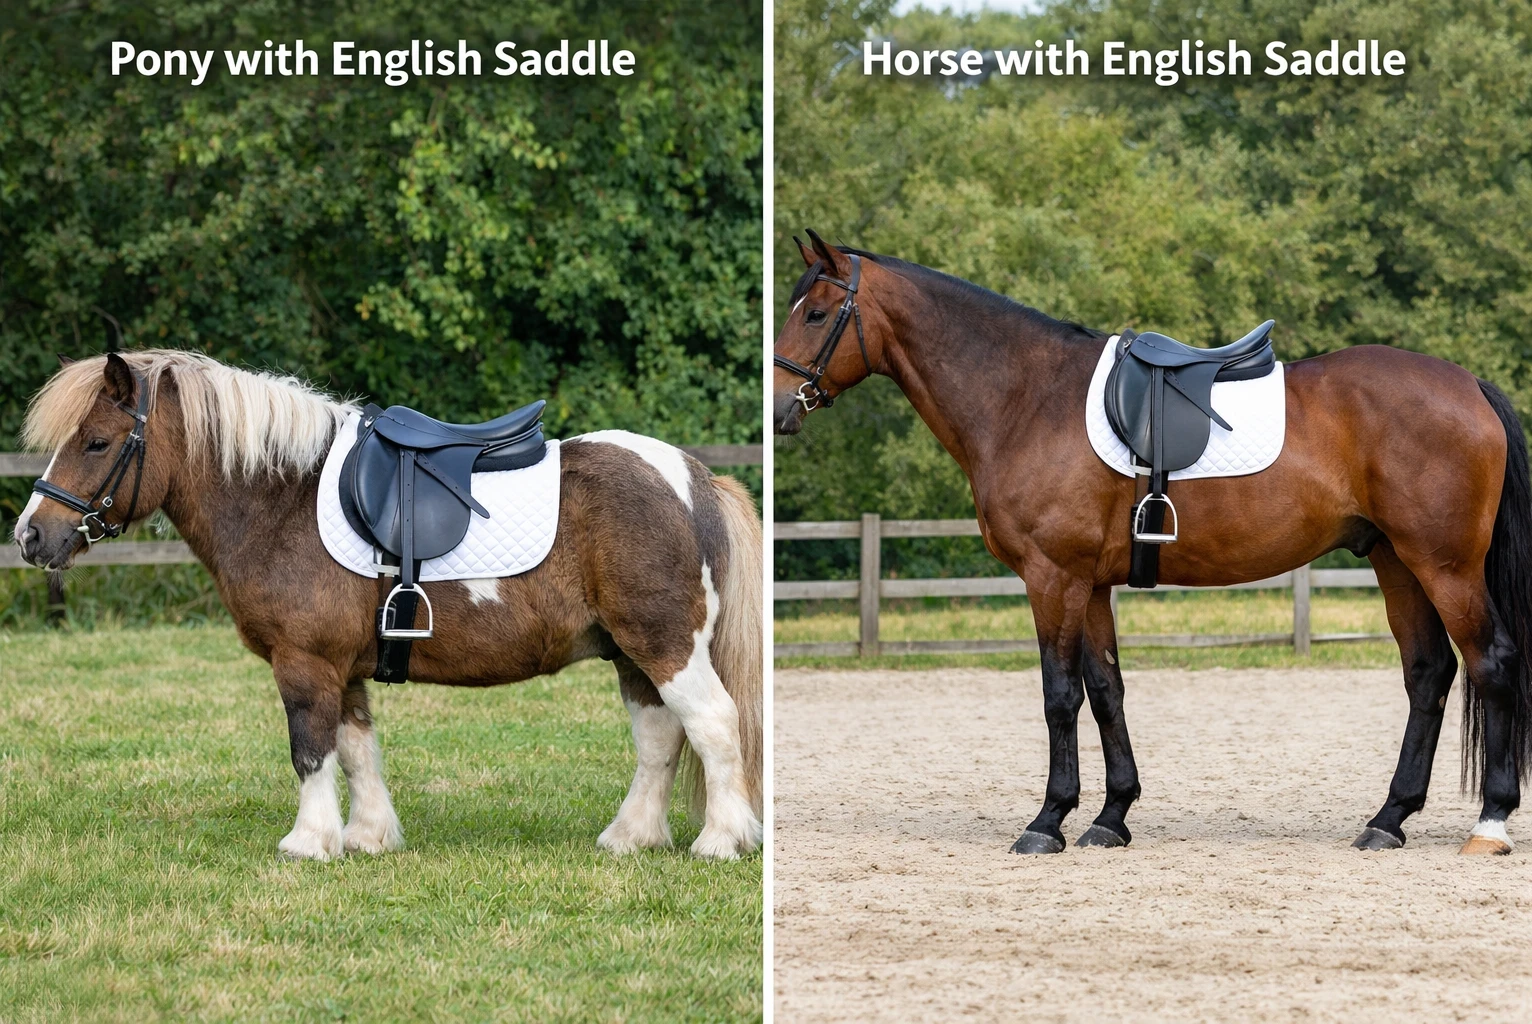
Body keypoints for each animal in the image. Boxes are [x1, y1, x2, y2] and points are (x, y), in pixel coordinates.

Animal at [15, 350, 763, 862]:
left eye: (97, 442)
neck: (281, 500)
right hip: (632, 653)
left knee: (713, 725)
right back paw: (631, 837)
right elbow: (355, 750)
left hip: (665, 645)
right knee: (660, 739)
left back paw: (721, 841)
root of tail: (695, 478)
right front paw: (368, 837)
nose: (30, 536)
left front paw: (308, 842)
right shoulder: (342, 668)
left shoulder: (304, 663)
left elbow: (310, 750)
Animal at [773, 230, 1532, 857]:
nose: (780, 408)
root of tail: (1469, 385)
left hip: (1443, 565)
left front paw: (1048, 821)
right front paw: (1111, 817)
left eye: (816, 313)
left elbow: (1059, 695)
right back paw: (1388, 820)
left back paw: (1489, 823)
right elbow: (1106, 689)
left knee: (1489, 663)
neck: (1025, 398)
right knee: (1428, 673)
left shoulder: (1052, 577)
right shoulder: (1091, 583)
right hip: (1395, 561)